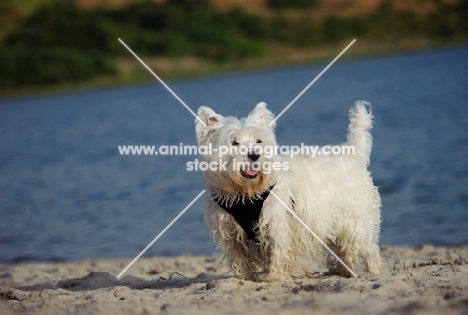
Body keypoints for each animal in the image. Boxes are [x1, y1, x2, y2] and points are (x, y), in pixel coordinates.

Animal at [194, 101, 384, 282]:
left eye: (258, 141)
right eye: (234, 142)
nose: (254, 155)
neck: (245, 193)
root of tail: (354, 155)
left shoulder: (276, 221)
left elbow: (277, 250)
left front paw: (274, 277)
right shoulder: (228, 230)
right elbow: (239, 257)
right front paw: (245, 278)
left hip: (354, 217)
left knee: (368, 248)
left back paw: (374, 271)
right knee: (346, 249)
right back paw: (344, 271)